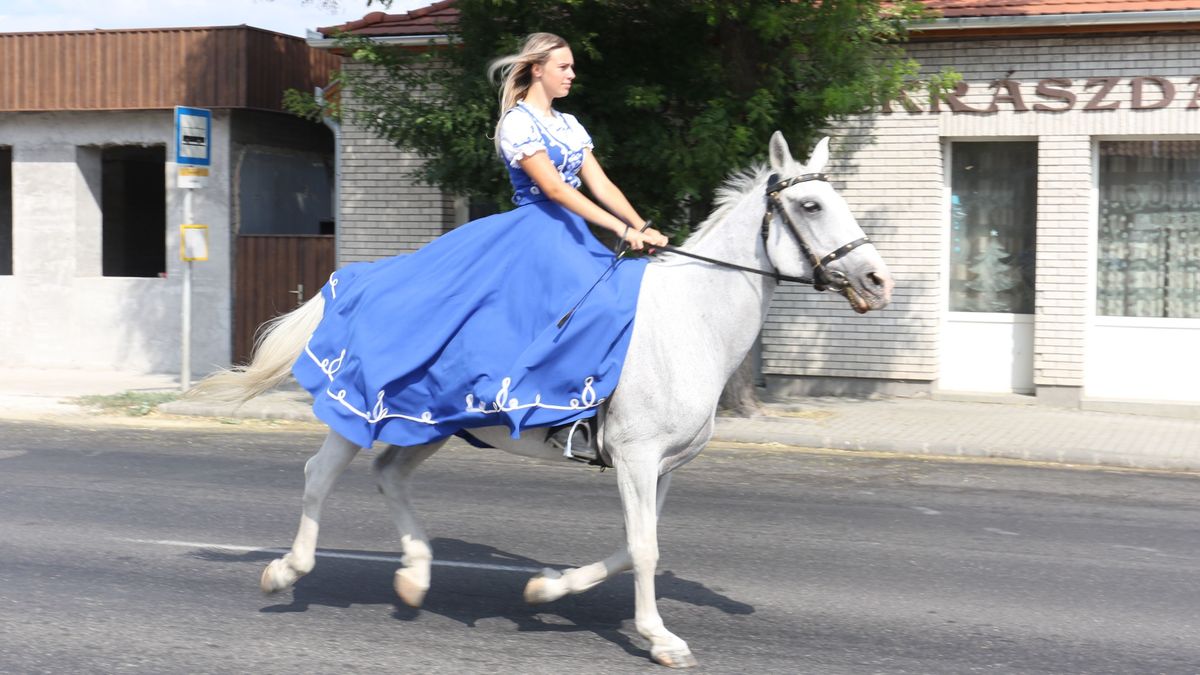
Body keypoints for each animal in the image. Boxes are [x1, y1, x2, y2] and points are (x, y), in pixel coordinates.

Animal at [192, 132, 892, 667]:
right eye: (810, 203)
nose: (877, 280)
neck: (691, 321)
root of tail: (358, 279)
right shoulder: (637, 458)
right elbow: (644, 549)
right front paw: (660, 639)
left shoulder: (661, 467)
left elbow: (636, 545)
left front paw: (546, 588)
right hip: (361, 408)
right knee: (319, 475)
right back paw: (287, 572)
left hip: (430, 422)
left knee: (389, 474)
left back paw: (415, 576)